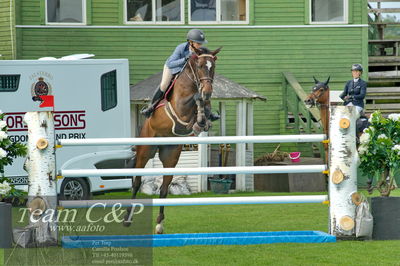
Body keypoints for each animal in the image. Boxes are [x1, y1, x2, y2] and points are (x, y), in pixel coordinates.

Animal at [123, 45, 222, 233]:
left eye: (213, 67)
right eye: (200, 66)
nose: (207, 91)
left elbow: (203, 106)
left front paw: (204, 119)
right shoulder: (181, 106)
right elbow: (195, 99)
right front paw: (199, 120)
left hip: (171, 155)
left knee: (163, 189)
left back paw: (159, 224)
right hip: (145, 151)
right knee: (137, 181)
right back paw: (127, 218)